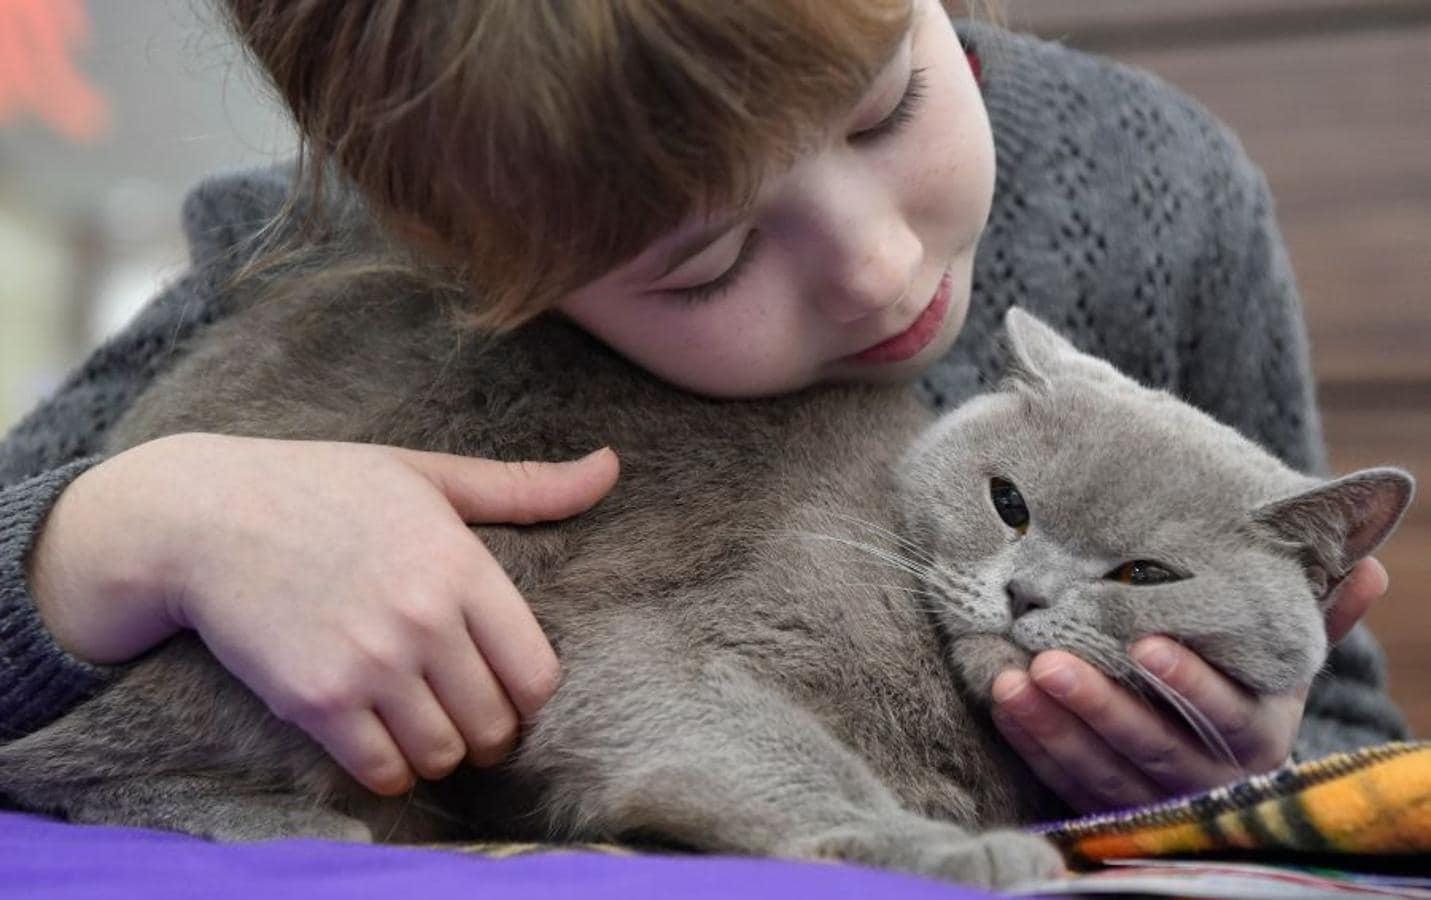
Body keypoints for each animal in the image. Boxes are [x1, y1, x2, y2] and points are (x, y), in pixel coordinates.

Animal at [0, 276, 1408, 892]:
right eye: (1010, 502)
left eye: (1144, 573)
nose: (1025, 597)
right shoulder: (665, 657)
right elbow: (774, 756)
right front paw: (956, 848)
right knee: (65, 770)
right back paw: (319, 831)